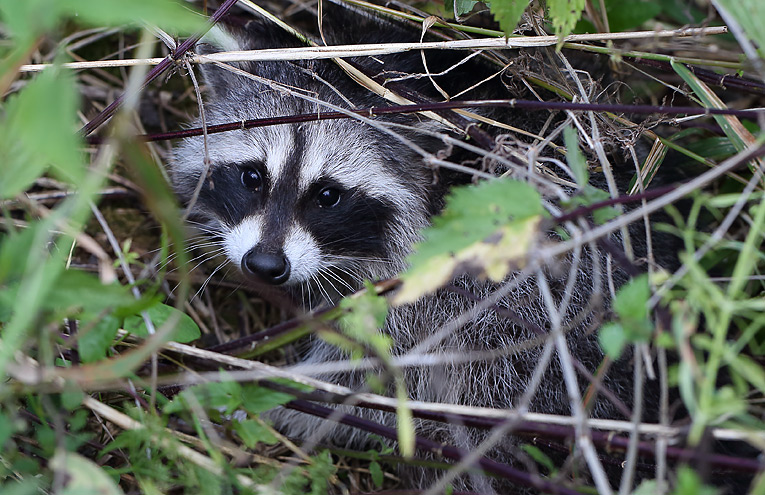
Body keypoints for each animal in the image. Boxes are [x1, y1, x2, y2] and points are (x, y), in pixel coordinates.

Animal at [173, 4, 652, 495]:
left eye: (328, 196)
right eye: (252, 177)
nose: (265, 265)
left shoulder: (439, 283)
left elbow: (379, 379)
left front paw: (275, 398)